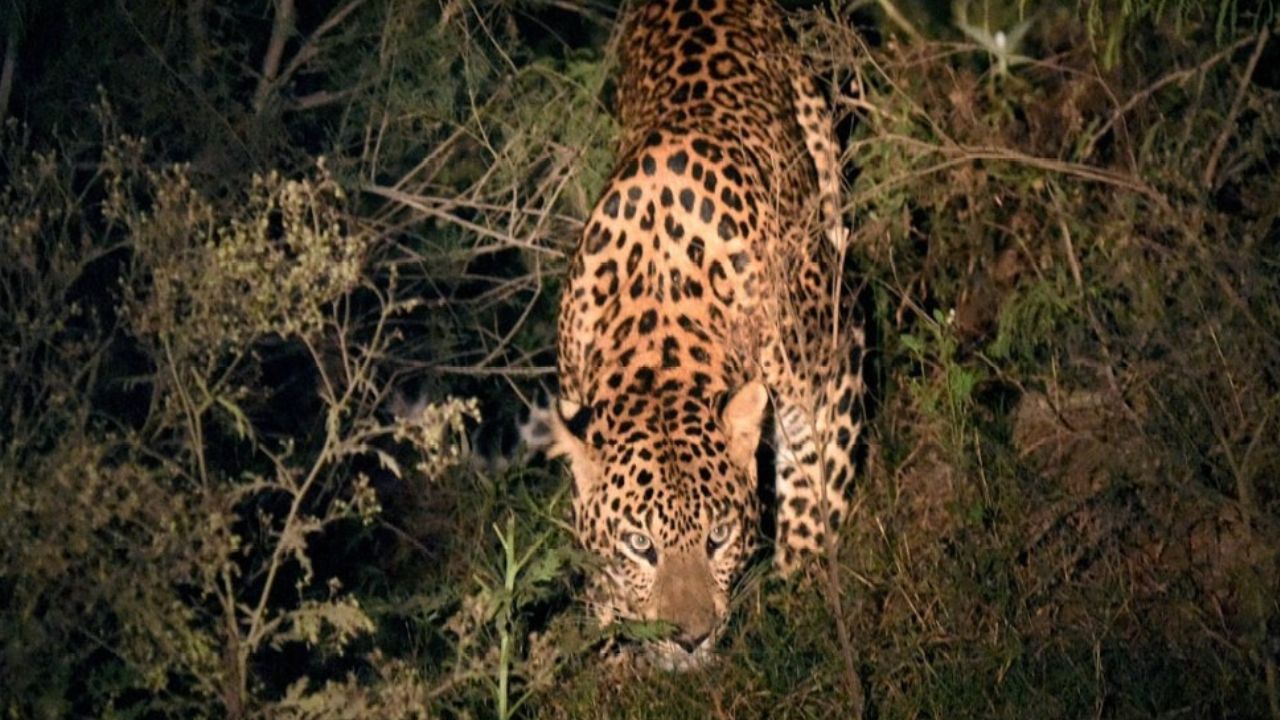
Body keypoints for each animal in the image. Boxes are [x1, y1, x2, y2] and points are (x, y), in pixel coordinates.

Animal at [522, 0, 867, 668]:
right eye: (638, 543)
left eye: (719, 536)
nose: (690, 638)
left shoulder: (835, 358)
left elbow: (815, 491)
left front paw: (804, 591)